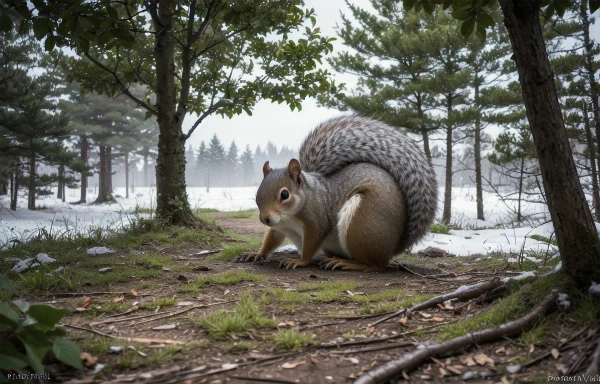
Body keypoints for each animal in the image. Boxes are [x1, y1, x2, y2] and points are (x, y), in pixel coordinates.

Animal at [237, 114, 438, 270]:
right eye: (257, 194)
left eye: (285, 194)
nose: (265, 219)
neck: (289, 218)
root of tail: (393, 246)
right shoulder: (279, 227)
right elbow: (272, 240)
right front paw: (256, 254)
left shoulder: (316, 220)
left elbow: (312, 242)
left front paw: (300, 261)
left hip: (363, 222)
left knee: (376, 265)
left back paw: (347, 264)